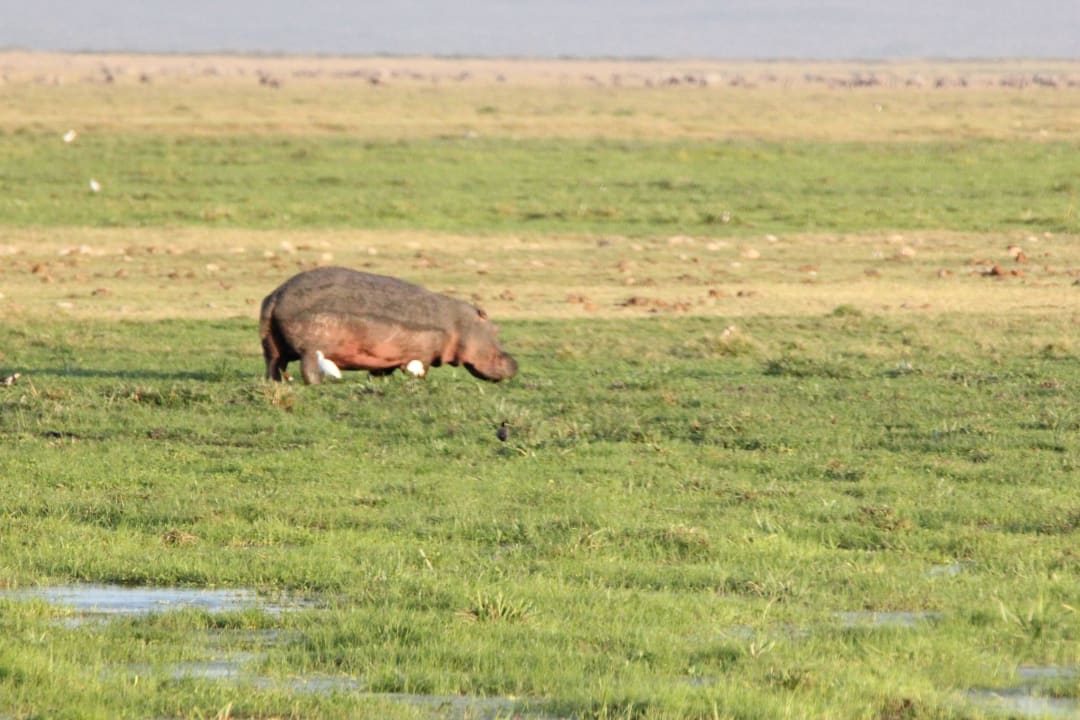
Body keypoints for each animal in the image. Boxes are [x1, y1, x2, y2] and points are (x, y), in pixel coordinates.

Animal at [259, 266, 518, 385]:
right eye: (497, 330)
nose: (515, 363)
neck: (458, 324)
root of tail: (277, 295)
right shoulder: (421, 355)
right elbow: (420, 371)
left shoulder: (384, 359)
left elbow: (380, 372)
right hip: (311, 349)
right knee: (309, 368)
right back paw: (317, 384)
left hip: (271, 345)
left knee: (273, 365)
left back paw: (275, 383)